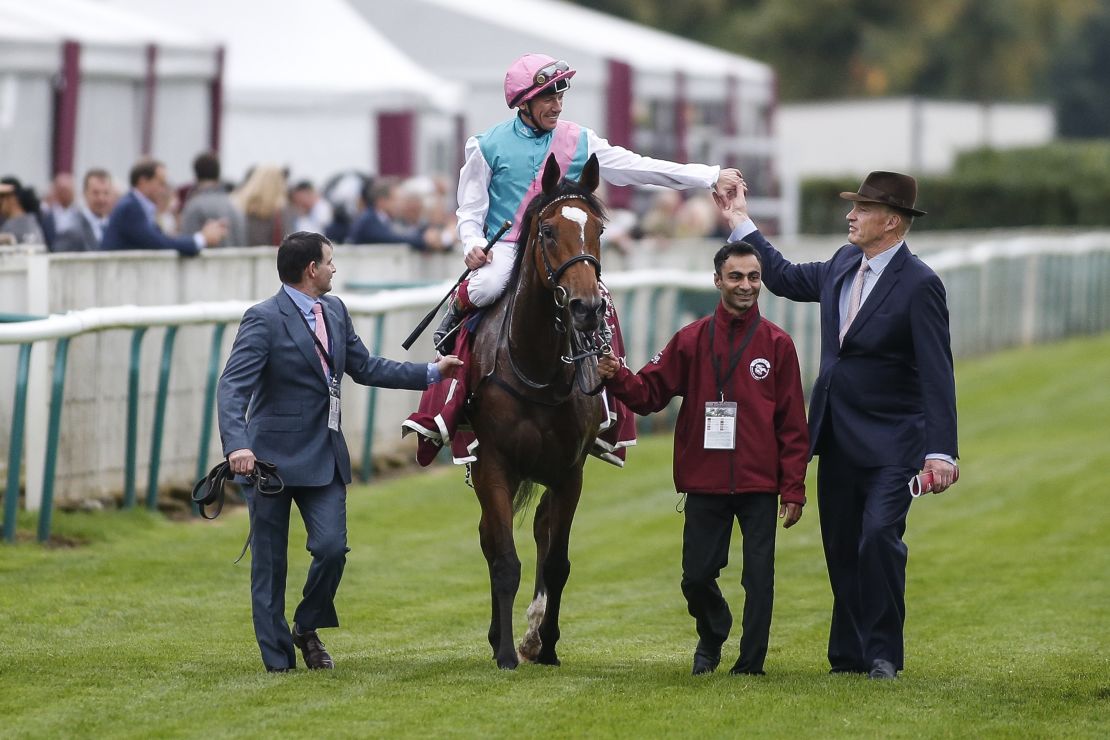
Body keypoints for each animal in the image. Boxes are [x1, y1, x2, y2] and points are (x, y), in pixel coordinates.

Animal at [463, 151, 612, 670]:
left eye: (599, 230)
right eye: (548, 231)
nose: (586, 307)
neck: (536, 367)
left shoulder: (571, 472)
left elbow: (558, 561)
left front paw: (543, 644)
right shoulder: (492, 464)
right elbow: (503, 557)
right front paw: (506, 650)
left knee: (544, 530)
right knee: (491, 539)